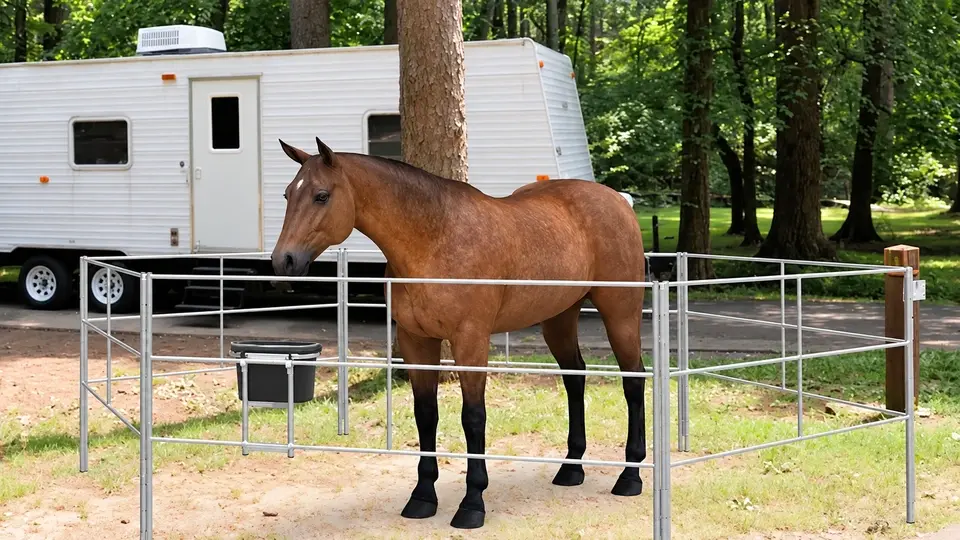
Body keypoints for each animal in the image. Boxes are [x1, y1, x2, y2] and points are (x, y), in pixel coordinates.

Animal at [271, 138, 648, 530]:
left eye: (322, 195)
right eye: (287, 193)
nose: (284, 261)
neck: (435, 239)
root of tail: (617, 200)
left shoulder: (470, 340)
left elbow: (473, 417)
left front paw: (472, 503)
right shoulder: (416, 341)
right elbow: (426, 414)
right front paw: (422, 497)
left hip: (620, 313)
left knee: (633, 380)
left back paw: (630, 475)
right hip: (559, 318)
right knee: (575, 378)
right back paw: (571, 469)